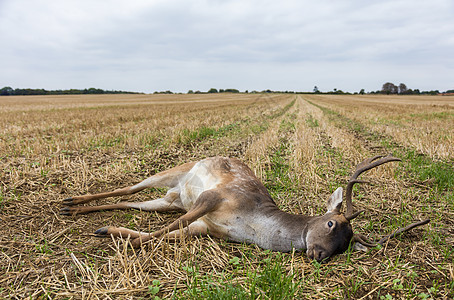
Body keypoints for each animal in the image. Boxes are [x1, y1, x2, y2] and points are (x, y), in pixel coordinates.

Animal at [60, 155, 430, 262]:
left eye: (347, 244)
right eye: (331, 224)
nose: (319, 254)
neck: (251, 224)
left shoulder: (207, 228)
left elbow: (169, 233)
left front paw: (115, 235)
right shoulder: (214, 198)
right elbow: (166, 231)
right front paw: (126, 244)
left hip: (169, 199)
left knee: (133, 202)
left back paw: (82, 215)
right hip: (176, 173)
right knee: (129, 187)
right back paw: (70, 202)